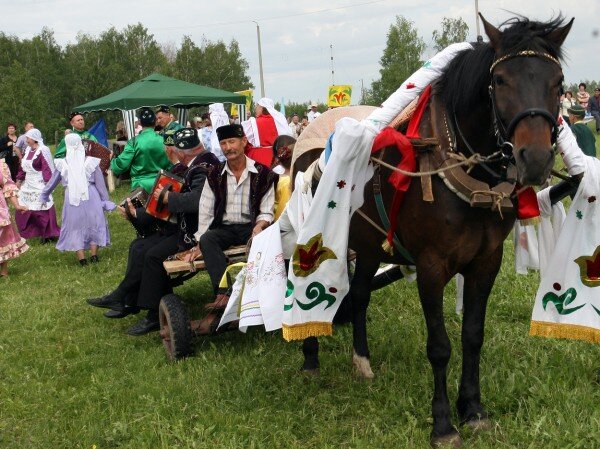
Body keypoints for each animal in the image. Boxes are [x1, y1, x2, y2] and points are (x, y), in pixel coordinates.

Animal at [292, 15, 576, 446]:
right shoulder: (431, 265)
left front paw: (473, 408)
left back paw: (362, 360)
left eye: (557, 81)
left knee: (359, 296)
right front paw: (442, 423)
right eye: (500, 80)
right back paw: (309, 355)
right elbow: (440, 346)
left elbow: (473, 334)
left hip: (368, 245)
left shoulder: (485, 262)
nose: (538, 158)